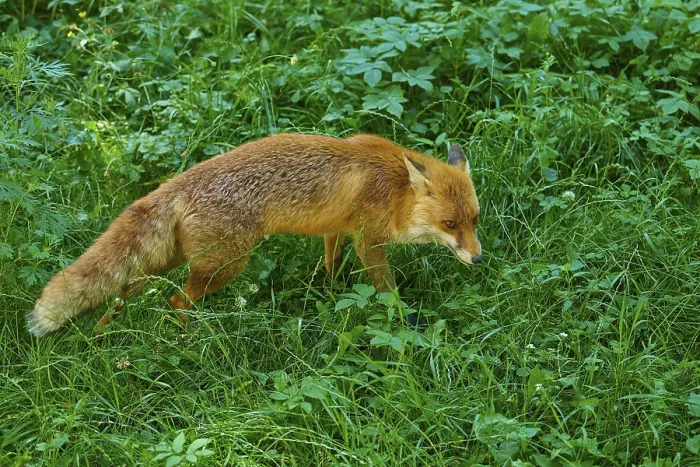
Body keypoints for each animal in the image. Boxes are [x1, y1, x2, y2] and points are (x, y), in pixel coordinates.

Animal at [28, 133, 482, 336]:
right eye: (450, 225)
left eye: (475, 220)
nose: (478, 259)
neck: (395, 190)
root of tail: (179, 183)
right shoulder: (369, 241)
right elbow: (386, 289)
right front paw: (406, 320)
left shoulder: (337, 229)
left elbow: (331, 264)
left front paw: (330, 289)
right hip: (223, 265)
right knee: (176, 300)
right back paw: (187, 339)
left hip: (169, 260)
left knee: (124, 291)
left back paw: (104, 336)